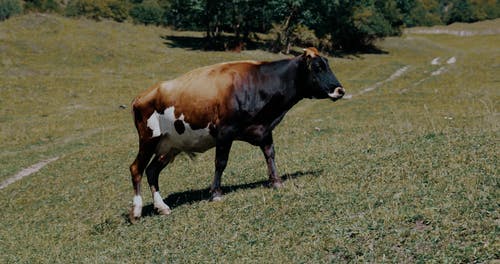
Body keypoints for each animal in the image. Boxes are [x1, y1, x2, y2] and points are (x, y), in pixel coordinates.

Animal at [130, 47, 344, 221]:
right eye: (317, 67)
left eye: (327, 64)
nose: (340, 90)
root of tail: (142, 95)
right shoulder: (225, 131)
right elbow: (221, 162)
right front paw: (216, 193)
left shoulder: (264, 130)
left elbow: (270, 154)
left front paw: (276, 181)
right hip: (149, 139)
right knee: (136, 169)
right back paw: (137, 211)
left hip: (169, 146)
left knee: (152, 171)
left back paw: (162, 207)